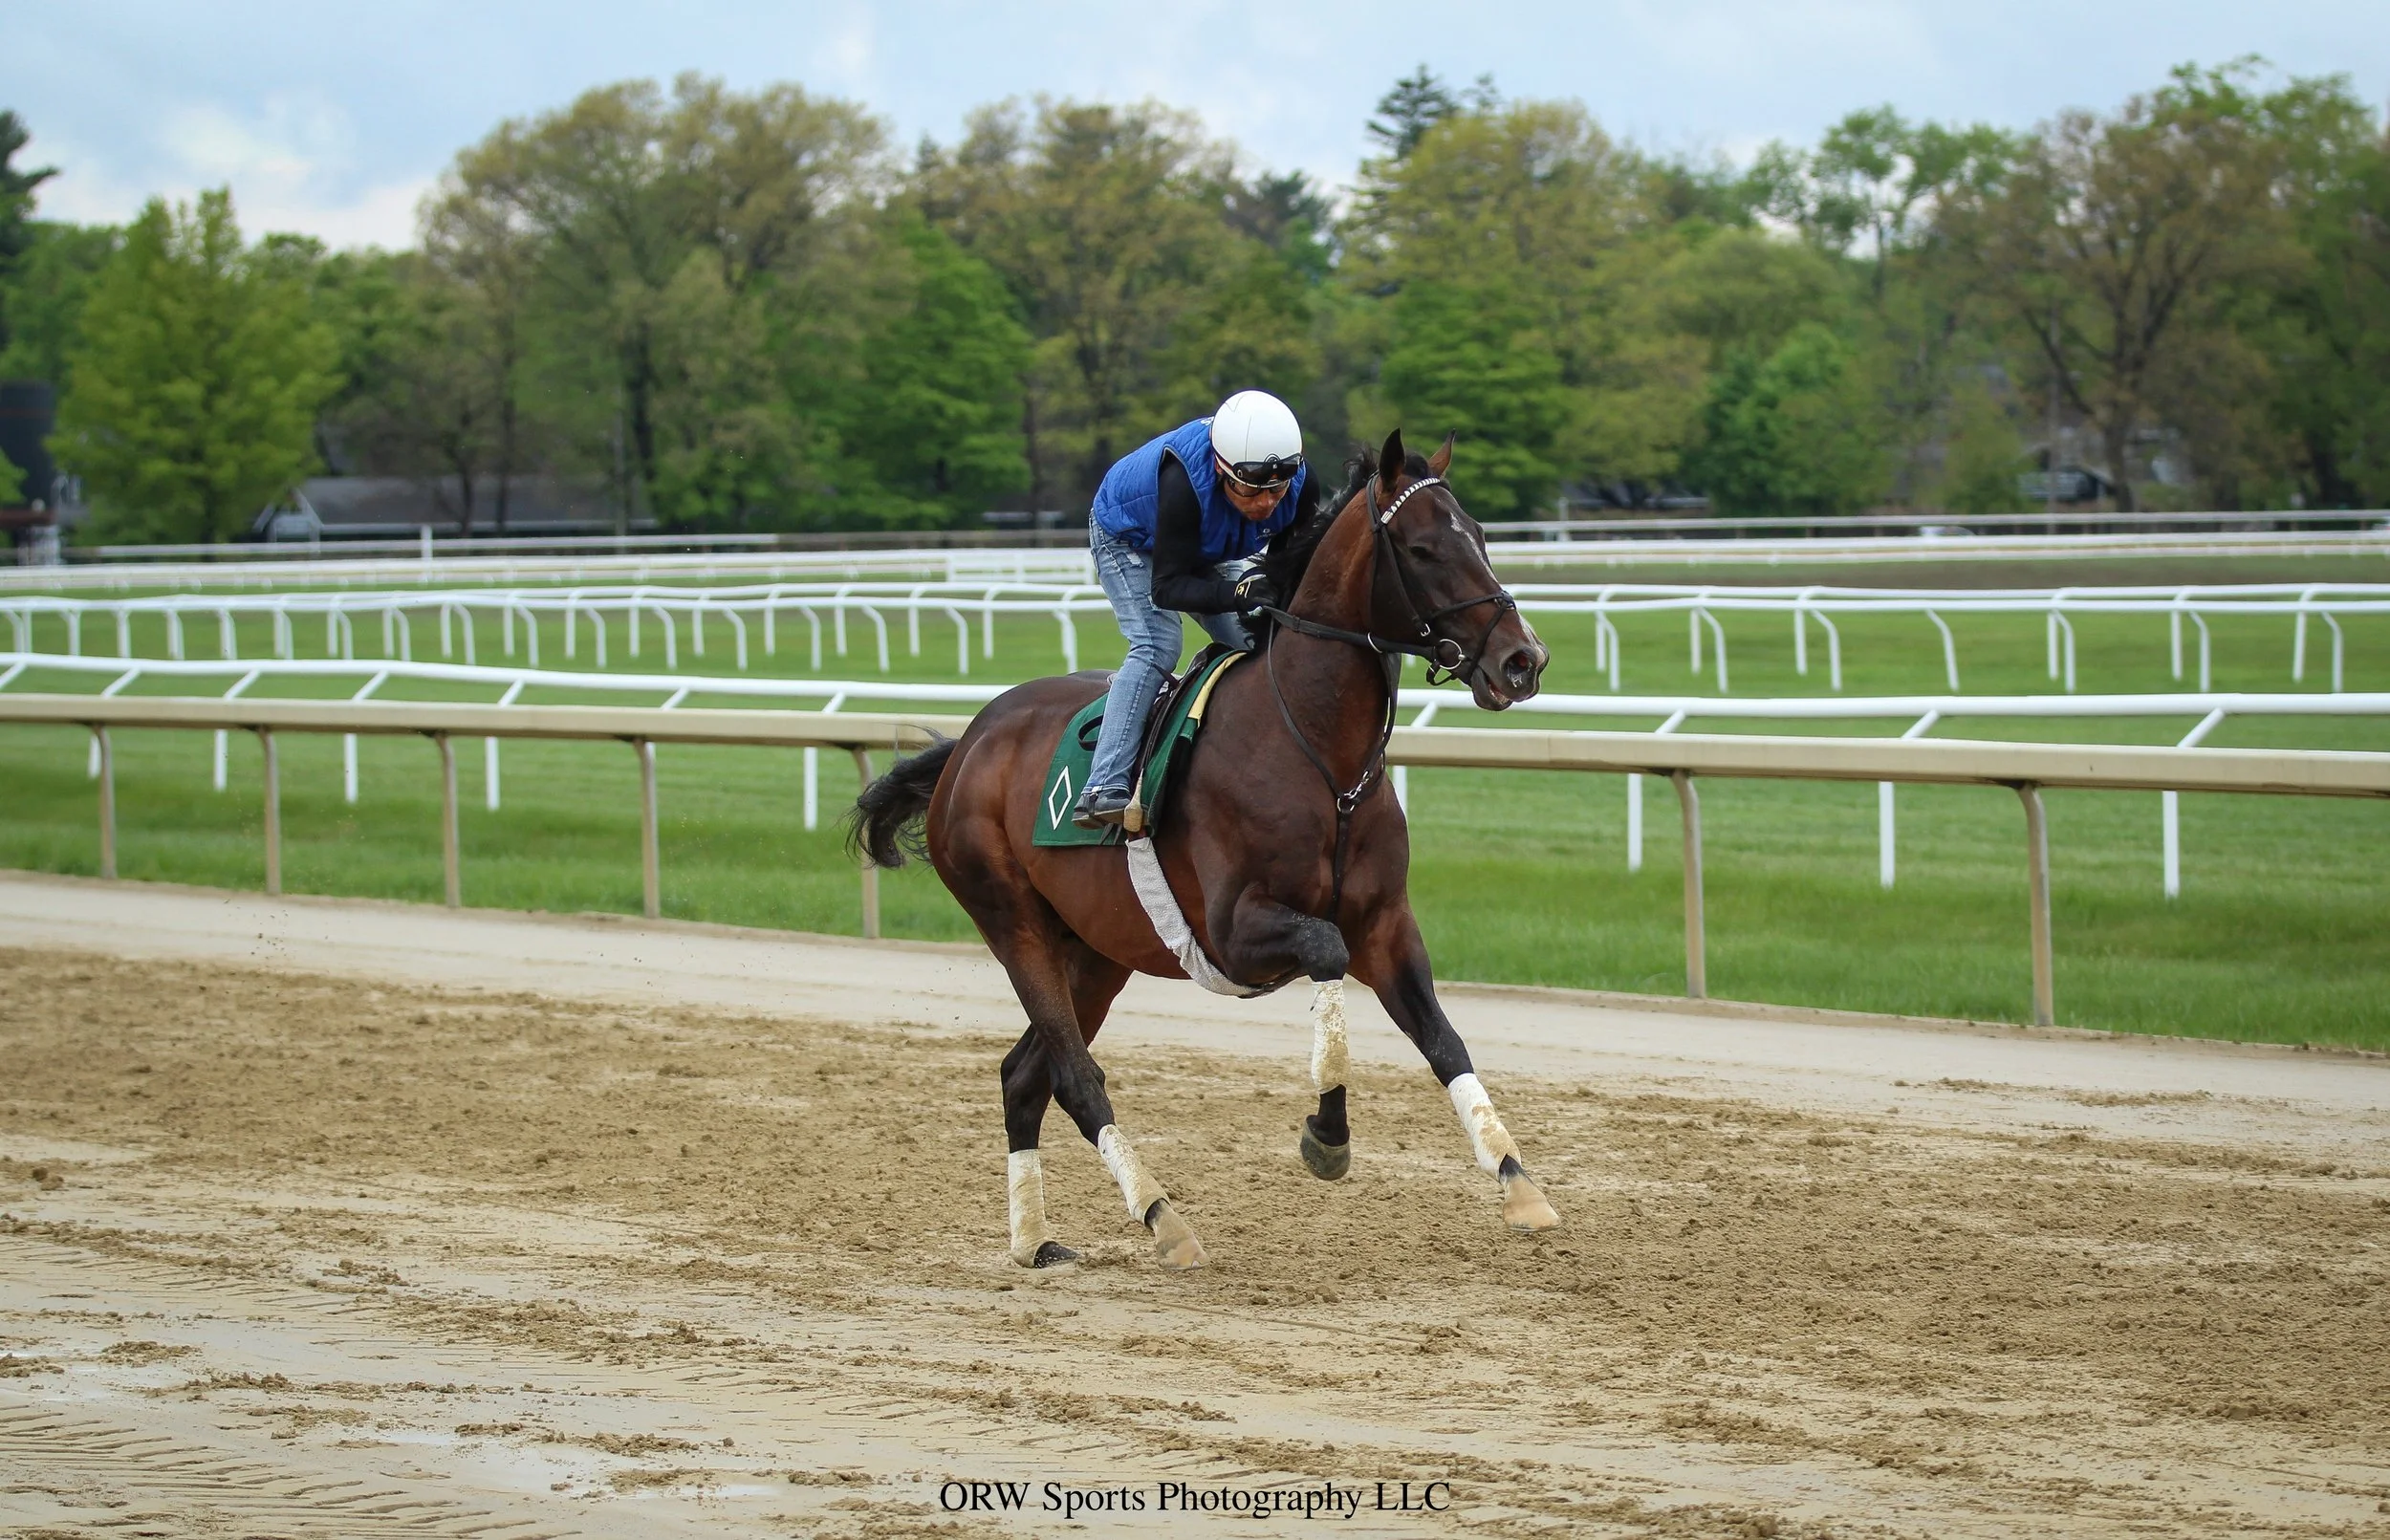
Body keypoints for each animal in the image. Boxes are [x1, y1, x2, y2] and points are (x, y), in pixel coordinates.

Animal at [850, 429, 1555, 1271]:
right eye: (1421, 549)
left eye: (1479, 535)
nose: (1523, 659)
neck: (1318, 753)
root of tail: (968, 744)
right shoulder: (1234, 931)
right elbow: (1325, 949)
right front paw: (1327, 1136)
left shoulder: (1386, 923)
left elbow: (1444, 1039)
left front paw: (1519, 1181)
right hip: (1012, 920)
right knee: (1075, 1078)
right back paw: (1162, 1217)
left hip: (1097, 950)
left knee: (1024, 1076)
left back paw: (1036, 1240)